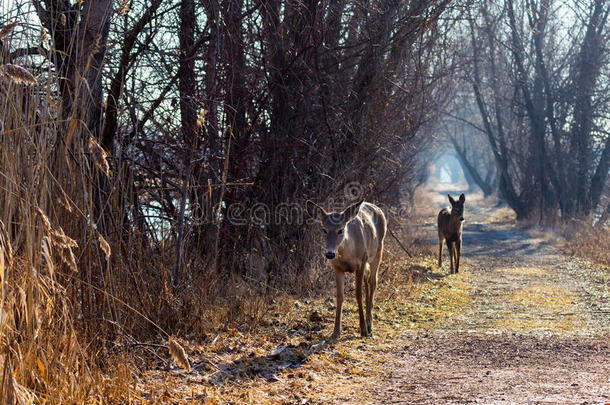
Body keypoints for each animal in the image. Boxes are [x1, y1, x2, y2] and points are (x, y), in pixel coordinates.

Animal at [304, 199, 384, 338]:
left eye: (340, 230)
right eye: (324, 229)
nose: (330, 253)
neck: (347, 254)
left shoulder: (361, 262)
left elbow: (358, 294)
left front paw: (363, 330)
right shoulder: (337, 268)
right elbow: (340, 296)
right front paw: (336, 331)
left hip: (378, 251)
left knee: (373, 282)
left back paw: (369, 325)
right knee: (367, 280)